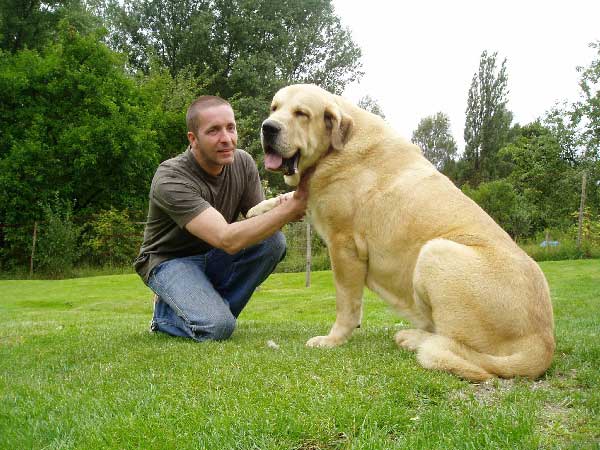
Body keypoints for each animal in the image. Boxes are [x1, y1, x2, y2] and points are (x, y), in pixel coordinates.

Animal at [247, 83, 552, 380]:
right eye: (274, 108)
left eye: (301, 113)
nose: (268, 127)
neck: (336, 147)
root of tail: (542, 342)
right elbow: (285, 199)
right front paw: (257, 210)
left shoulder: (344, 246)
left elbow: (346, 304)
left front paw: (332, 340)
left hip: (435, 251)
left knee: (453, 345)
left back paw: (413, 339)